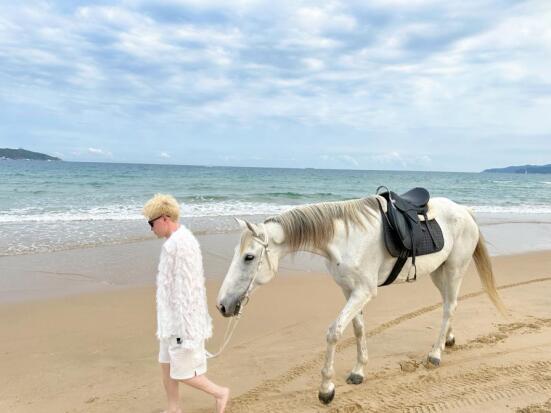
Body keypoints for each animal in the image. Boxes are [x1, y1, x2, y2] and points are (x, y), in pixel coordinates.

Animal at [216, 195, 504, 404]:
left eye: (249, 257)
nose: (222, 305)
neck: (345, 239)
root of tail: (465, 210)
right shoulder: (349, 290)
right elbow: (357, 329)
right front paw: (358, 371)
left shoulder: (363, 292)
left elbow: (334, 332)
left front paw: (326, 388)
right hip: (438, 271)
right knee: (448, 304)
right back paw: (448, 340)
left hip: (455, 269)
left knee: (448, 307)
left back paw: (435, 354)